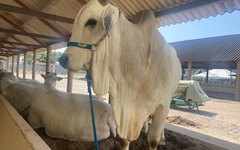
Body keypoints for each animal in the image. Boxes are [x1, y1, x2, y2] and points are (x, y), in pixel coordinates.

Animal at [59, 0, 181, 149]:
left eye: (92, 21)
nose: (62, 59)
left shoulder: (163, 106)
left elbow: (153, 140)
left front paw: (158, 139)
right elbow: (124, 140)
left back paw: (162, 138)